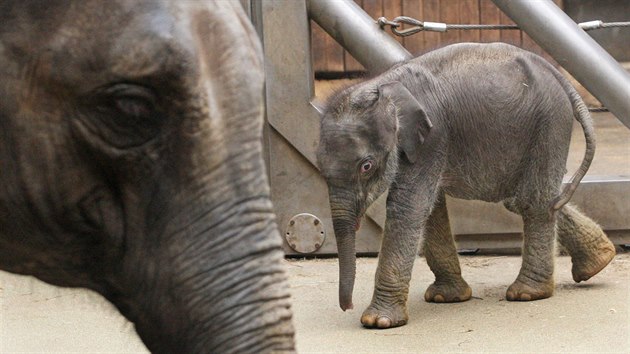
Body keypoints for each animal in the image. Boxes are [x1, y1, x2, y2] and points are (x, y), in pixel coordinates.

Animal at [316, 42, 616, 330]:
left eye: (366, 166)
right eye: (319, 164)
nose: (347, 307)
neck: (382, 85)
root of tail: (555, 73)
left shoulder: (433, 137)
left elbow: (408, 207)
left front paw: (378, 322)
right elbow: (431, 207)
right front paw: (444, 297)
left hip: (550, 122)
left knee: (535, 200)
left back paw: (528, 293)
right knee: (524, 199)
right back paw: (599, 262)